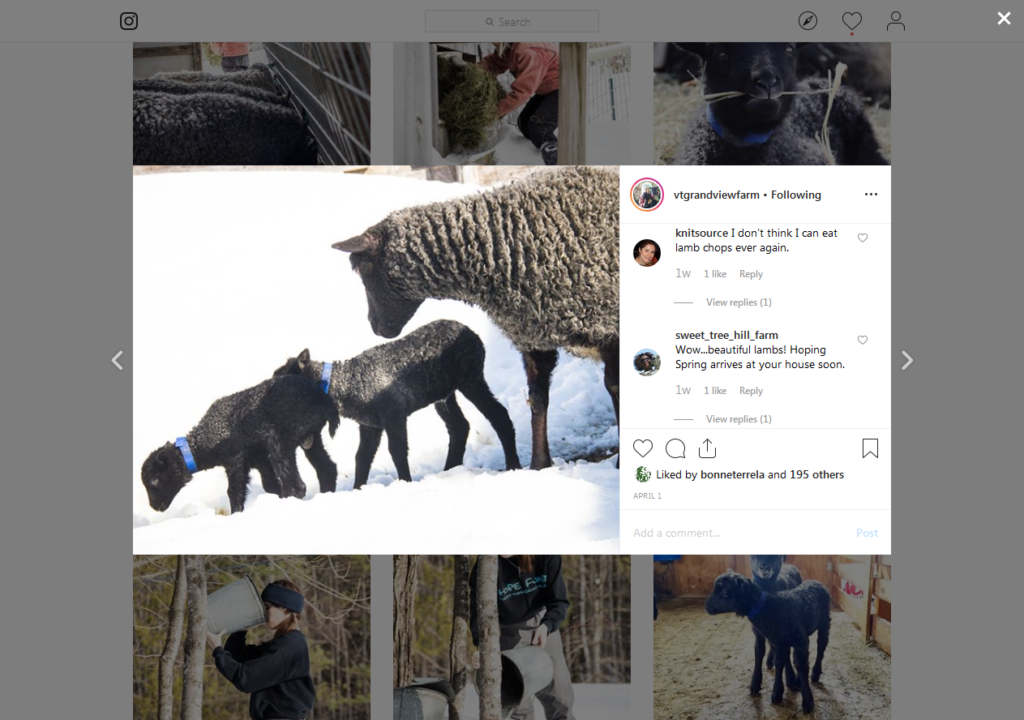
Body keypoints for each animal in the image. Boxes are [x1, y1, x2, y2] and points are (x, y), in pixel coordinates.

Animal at [140, 374, 342, 516]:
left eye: (155, 480)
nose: (154, 507)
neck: (206, 439)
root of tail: (323, 400)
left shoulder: (235, 461)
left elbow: (234, 492)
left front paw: (237, 514)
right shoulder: (260, 461)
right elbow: (270, 486)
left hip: (280, 443)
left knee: (296, 485)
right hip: (311, 440)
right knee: (327, 469)